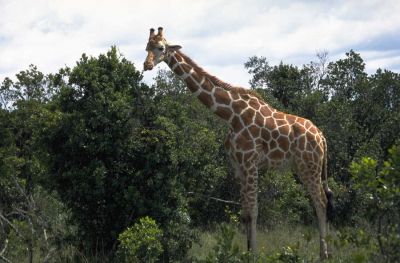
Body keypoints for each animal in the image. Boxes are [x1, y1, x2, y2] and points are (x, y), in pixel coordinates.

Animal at [143, 27, 334, 260]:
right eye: (147, 47)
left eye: (161, 48)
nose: (146, 65)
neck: (230, 114)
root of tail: (322, 137)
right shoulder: (237, 166)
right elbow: (244, 213)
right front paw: (246, 252)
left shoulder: (251, 163)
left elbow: (254, 211)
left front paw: (254, 255)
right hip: (303, 167)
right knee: (321, 202)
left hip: (310, 166)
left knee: (321, 202)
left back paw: (324, 255)